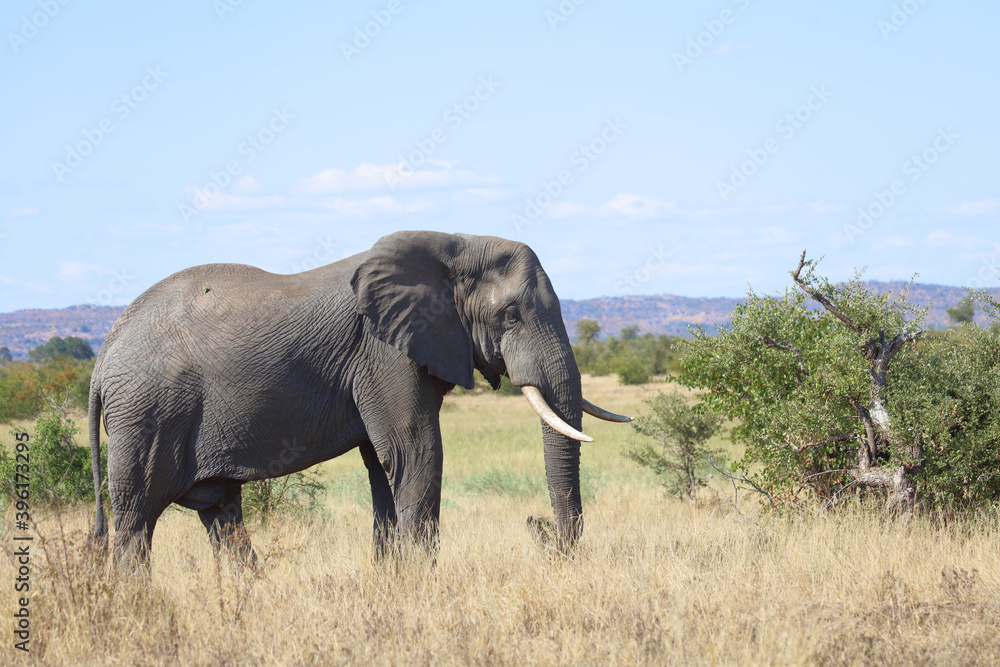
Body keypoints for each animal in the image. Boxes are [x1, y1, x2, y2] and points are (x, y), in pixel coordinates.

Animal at [87, 230, 631, 567]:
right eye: (511, 315)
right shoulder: (382, 351)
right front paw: (421, 587)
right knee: (136, 518)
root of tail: (102, 356)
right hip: (147, 414)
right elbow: (416, 452)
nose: (539, 527)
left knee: (221, 513)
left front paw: (393, 581)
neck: (455, 244)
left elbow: (382, 465)